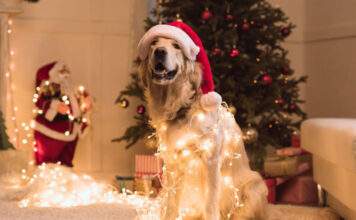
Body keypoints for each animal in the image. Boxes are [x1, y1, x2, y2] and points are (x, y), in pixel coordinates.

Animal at [138, 37, 268, 219]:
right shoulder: (173, 161)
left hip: (255, 187)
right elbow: (171, 201)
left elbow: (210, 201)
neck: (181, 108)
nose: (159, 51)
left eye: (177, 46)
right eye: (154, 43)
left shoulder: (210, 159)